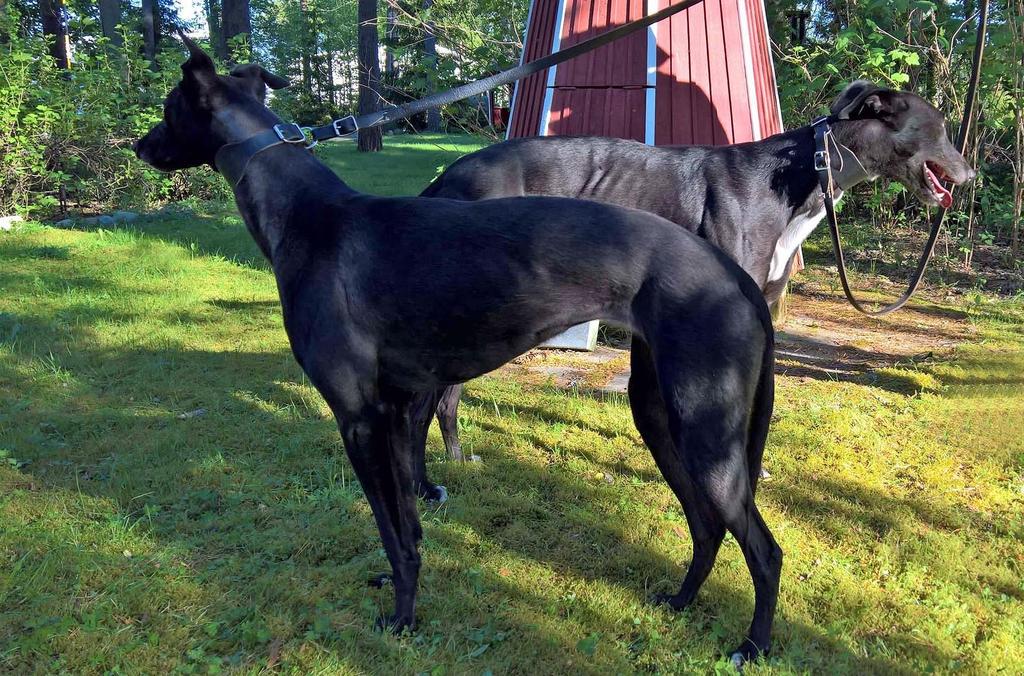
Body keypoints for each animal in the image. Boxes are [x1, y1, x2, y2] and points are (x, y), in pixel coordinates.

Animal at [134, 39, 774, 663]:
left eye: (168, 108)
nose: (139, 146)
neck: (308, 216)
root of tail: (734, 276)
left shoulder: (358, 419)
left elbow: (392, 533)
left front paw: (400, 619)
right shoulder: (393, 415)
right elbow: (410, 526)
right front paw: (403, 595)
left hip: (707, 431)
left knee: (763, 549)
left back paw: (754, 645)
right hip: (660, 417)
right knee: (707, 528)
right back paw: (681, 602)